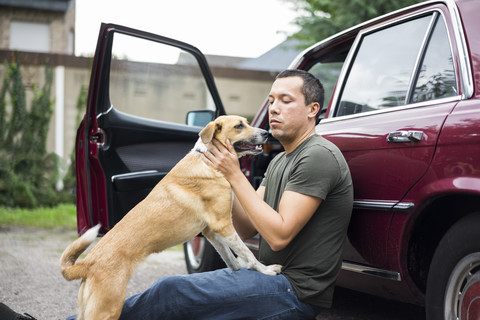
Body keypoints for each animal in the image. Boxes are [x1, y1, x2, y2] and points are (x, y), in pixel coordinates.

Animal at [61, 115, 284, 320]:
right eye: (239, 126)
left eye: (246, 122)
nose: (267, 133)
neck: (206, 161)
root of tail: (86, 264)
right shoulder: (223, 226)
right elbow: (248, 253)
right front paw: (265, 270)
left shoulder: (211, 231)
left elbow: (230, 257)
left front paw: (239, 273)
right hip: (107, 309)